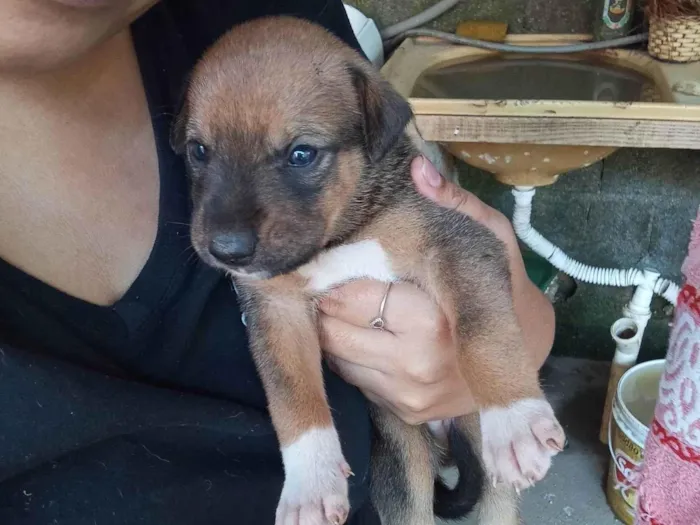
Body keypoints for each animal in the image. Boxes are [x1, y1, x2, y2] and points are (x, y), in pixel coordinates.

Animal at [172, 16, 568, 524]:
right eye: (199, 150)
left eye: (301, 154)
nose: (226, 251)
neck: (342, 235)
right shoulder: (275, 309)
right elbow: (292, 394)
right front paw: (310, 483)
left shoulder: (458, 242)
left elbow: (484, 331)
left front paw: (515, 417)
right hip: (404, 461)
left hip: (485, 471)